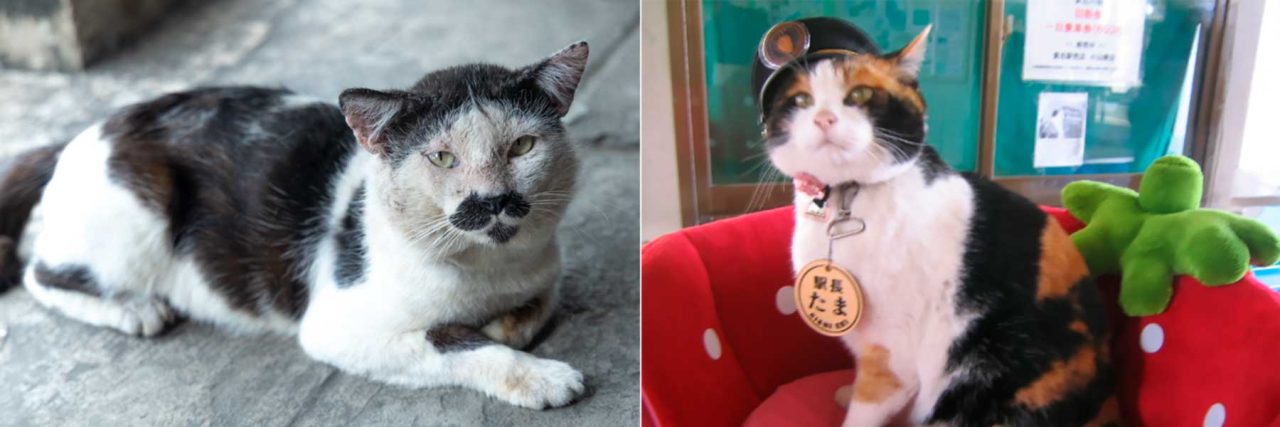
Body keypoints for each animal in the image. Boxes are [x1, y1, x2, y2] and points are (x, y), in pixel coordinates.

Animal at [0, 41, 588, 409]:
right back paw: (134, 311)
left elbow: (542, 299)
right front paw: (542, 376)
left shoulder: (547, 266)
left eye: (522, 147)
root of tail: (79, 136)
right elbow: (459, 347)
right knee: (38, 274)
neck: (492, 270)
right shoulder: (338, 326)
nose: (493, 200)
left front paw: (505, 323)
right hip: (138, 217)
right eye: (442, 158)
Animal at [752, 17, 1116, 427]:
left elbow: (870, 404)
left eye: (860, 94)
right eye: (801, 100)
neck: (846, 198)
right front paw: (846, 392)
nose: (823, 118)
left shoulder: (894, 352)